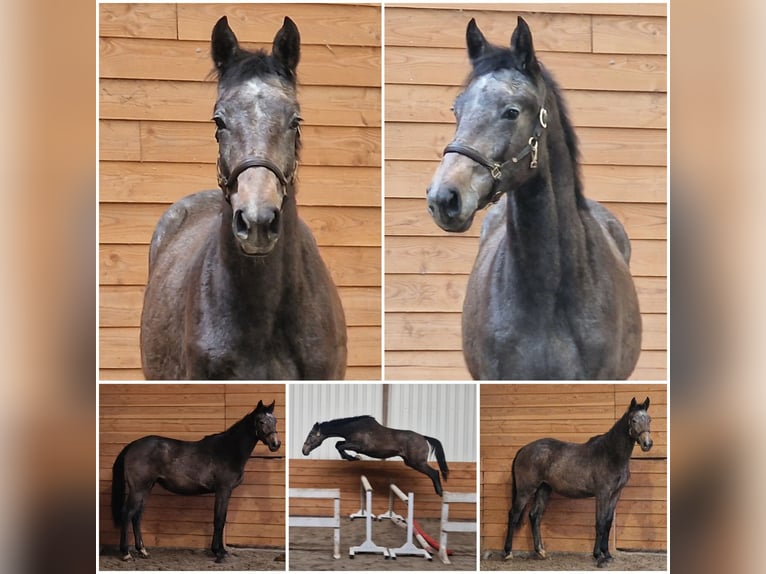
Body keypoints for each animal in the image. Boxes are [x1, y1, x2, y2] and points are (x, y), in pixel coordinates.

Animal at [110, 400, 281, 562]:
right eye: (261, 421)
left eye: (275, 420)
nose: (276, 444)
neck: (228, 450)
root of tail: (132, 446)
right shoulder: (223, 490)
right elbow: (219, 520)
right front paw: (218, 552)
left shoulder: (225, 492)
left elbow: (222, 519)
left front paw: (222, 551)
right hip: (138, 488)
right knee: (127, 513)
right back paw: (126, 553)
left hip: (146, 487)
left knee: (137, 515)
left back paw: (143, 551)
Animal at [301, 415, 449, 496]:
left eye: (311, 435)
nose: (304, 451)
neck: (354, 428)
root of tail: (424, 437)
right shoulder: (350, 442)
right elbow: (338, 444)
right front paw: (351, 458)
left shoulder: (359, 446)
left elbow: (340, 446)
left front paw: (353, 458)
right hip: (410, 462)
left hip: (417, 462)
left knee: (434, 473)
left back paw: (440, 493)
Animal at [504, 397, 653, 567]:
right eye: (634, 420)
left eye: (649, 419)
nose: (647, 444)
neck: (610, 454)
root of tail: (523, 449)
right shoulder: (602, 494)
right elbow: (600, 522)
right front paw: (598, 557)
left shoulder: (615, 494)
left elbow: (608, 523)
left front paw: (607, 555)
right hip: (525, 490)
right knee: (514, 514)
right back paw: (508, 553)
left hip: (543, 489)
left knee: (535, 515)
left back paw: (541, 551)